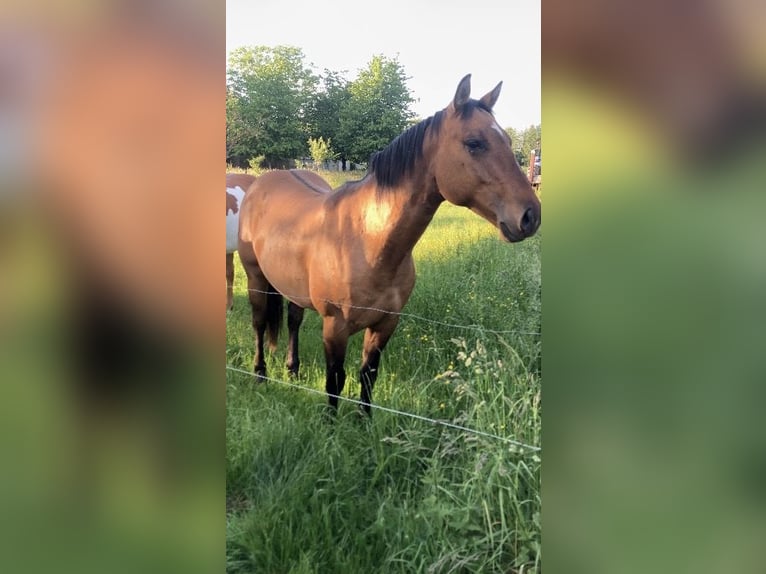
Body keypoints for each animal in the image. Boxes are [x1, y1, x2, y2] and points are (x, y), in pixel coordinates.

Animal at [237, 74, 541, 415]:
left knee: (293, 320)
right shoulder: (335, 327)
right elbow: (335, 381)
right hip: (255, 279)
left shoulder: (386, 323)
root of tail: (262, 181)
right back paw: (260, 374)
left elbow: (368, 375)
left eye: (508, 142)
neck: (368, 243)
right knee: (259, 323)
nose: (530, 216)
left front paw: (363, 420)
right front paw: (331, 422)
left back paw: (293, 370)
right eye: (474, 143)